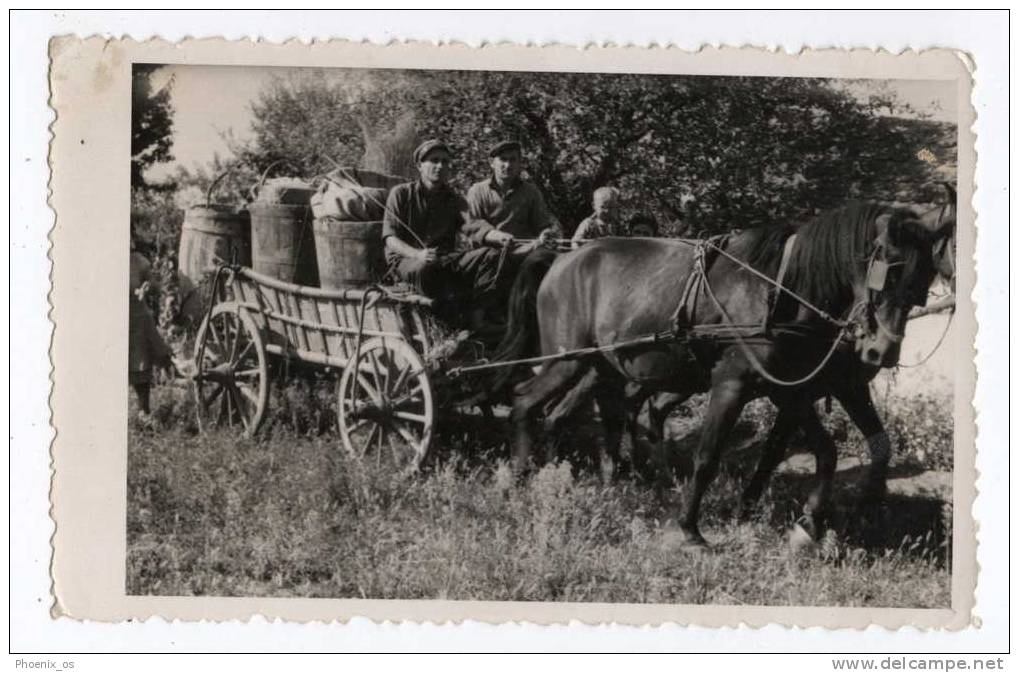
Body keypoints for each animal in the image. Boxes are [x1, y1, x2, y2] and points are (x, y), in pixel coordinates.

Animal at [501, 199, 953, 546]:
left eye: (922, 278)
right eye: (888, 268)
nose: (882, 351)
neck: (780, 291)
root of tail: (562, 258)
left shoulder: (793, 389)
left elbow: (825, 451)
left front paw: (812, 523)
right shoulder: (734, 385)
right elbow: (709, 454)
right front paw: (690, 528)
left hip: (598, 366)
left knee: (567, 413)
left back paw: (568, 478)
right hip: (568, 360)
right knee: (527, 403)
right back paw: (523, 481)